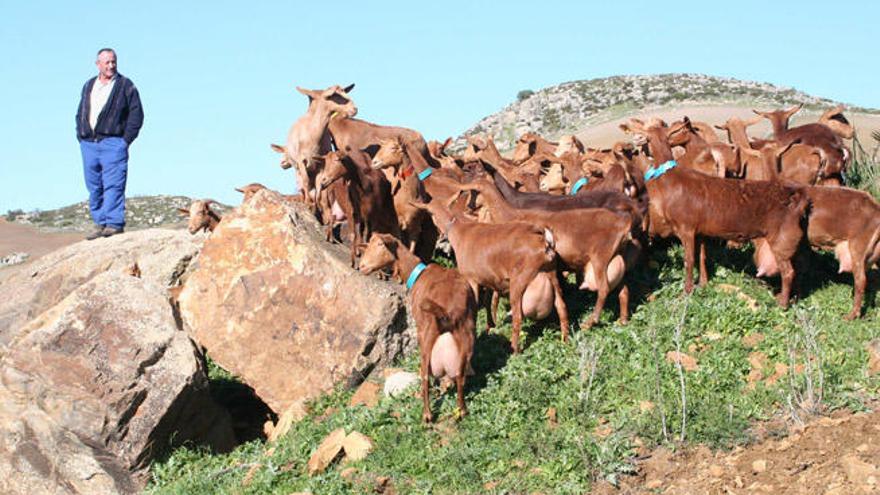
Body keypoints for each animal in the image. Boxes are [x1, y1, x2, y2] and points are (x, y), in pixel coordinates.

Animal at [358, 233, 474, 422]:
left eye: (380, 244)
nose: (362, 266)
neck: (418, 273)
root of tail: (446, 313)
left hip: (427, 336)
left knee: (425, 375)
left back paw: (426, 414)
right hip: (467, 334)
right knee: (460, 376)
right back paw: (461, 410)